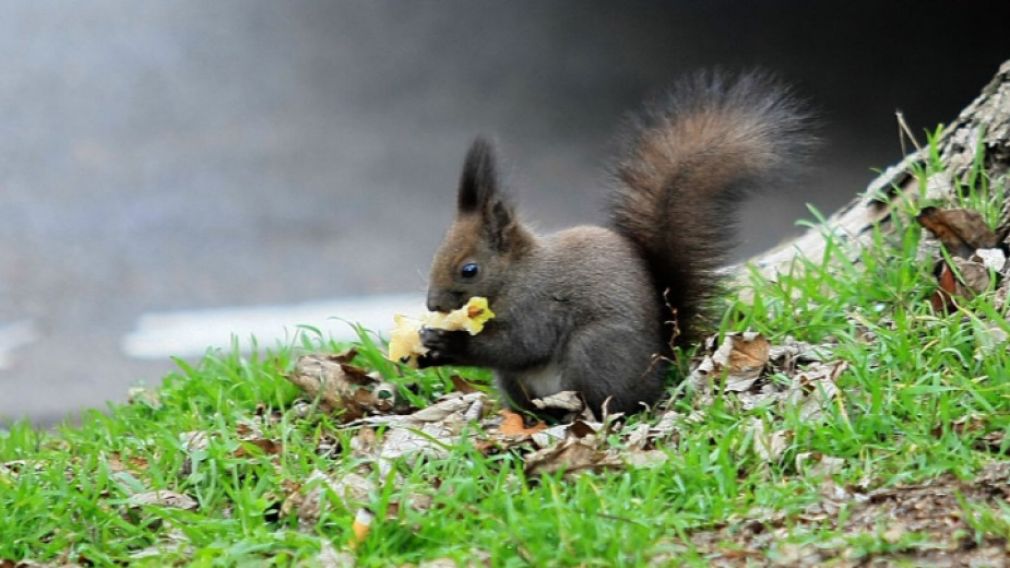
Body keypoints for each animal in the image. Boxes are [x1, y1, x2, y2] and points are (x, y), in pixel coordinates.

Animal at [416, 70, 812, 416]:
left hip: (594, 350)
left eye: (469, 270)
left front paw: (448, 343)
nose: (432, 305)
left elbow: (521, 344)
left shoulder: (540, 305)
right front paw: (427, 350)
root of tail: (661, 364)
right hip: (517, 382)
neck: (516, 274)